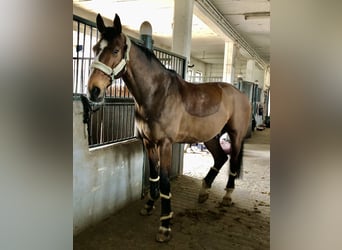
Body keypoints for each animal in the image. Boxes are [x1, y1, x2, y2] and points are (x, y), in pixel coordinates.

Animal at [86, 13, 251, 242]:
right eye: (95, 48)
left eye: (116, 50)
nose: (93, 90)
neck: (157, 94)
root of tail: (240, 94)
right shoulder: (148, 143)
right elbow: (153, 175)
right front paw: (149, 206)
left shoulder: (165, 144)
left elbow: (164, 181)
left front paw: (165, 225)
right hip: (210, 137)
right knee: (220, 158)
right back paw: (203, 192)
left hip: (235, 137)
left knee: (233, 162)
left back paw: (226, 196)